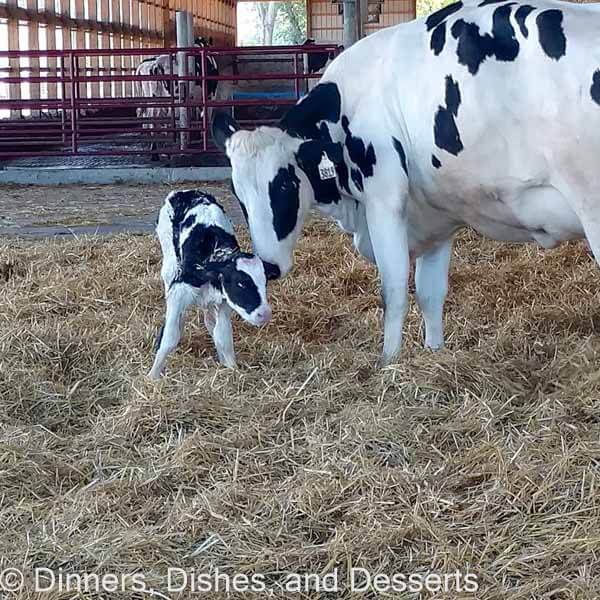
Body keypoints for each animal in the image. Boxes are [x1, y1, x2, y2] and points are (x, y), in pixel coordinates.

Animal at [149, 189, 274, 380]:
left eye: (264, 282)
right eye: (240, 284)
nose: (264, 314)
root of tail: (185, 191)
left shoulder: (223, 301)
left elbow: (223, 335)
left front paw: (231, 367)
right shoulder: (179, 291)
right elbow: (169, 338)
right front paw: (152, 376)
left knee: (209, 318)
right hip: (169, 263)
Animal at [212, 0, 600, 366]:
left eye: (285, 185)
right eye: (236, 193)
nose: (268, 266)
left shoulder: (384, 200)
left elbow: (394, 289)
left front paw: (388, 363)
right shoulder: (438, 215)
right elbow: (430, 292)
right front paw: (433, 352)